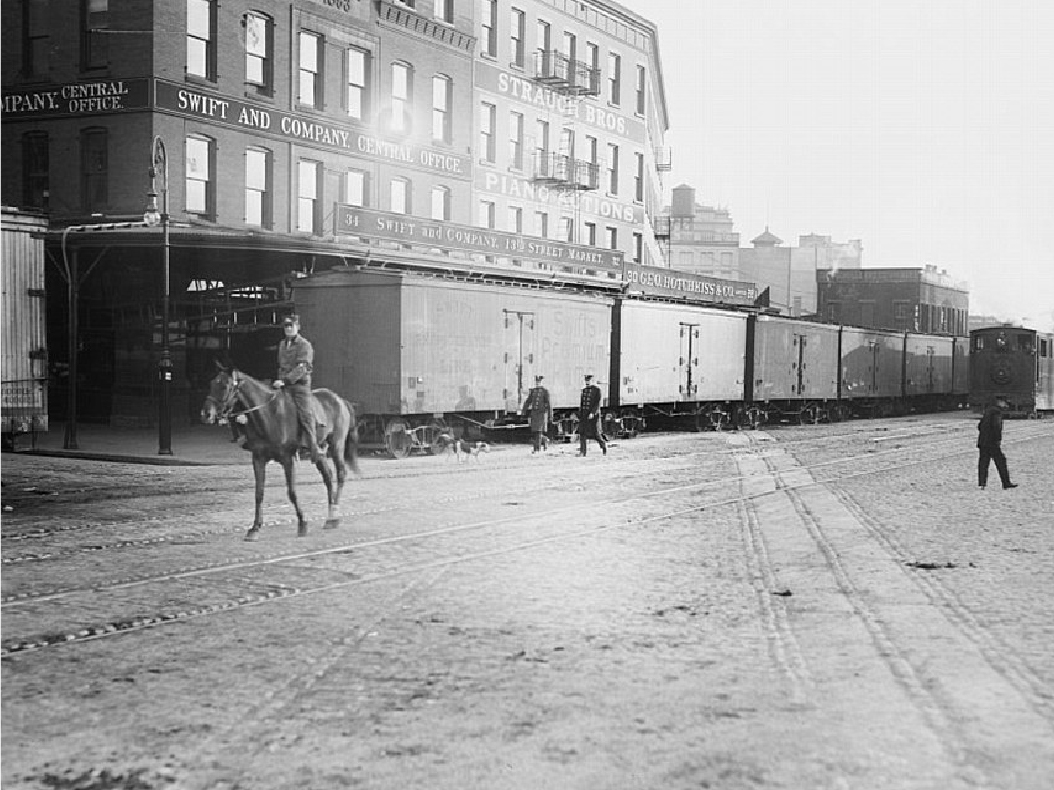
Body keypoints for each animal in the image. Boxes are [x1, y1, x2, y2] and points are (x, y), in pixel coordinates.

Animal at [199, 366, 360, 543]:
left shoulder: (287, 459)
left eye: (225, 386)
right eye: (212, 383)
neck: (268, 414)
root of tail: (339, 399)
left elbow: (292, 492)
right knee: (328, 477)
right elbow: (259, 494)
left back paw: (334, 517)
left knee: (340, 474)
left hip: (337, 445)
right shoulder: (258, 459)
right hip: (319, 452)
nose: (205, 414)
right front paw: (254, 528)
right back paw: (331, 516)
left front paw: (302, 524)